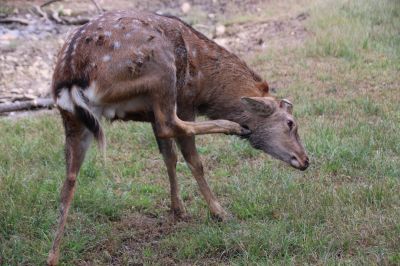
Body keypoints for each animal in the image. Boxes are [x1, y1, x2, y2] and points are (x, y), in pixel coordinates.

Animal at [46, 9, 310, 264]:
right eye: (290, 123)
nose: (305, 159)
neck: (207, 85)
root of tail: (71, 76)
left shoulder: (150, 115)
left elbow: (168, 156)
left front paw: (178, 209)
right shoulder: (186, 101)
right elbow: (192, 159)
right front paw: (218, 213)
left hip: (73, 119)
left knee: (68, 180)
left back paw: (53, 256)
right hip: (162, 72)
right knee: (170, 124)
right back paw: (233, 127)